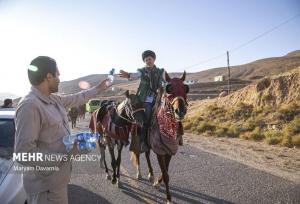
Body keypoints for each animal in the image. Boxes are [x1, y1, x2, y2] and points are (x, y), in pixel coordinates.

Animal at [131, 71, 189, 203]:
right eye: (169, 89)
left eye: (185, 89)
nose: (180, 111)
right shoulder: (160, 152)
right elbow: (166, 175)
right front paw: (168, 199)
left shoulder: (169, 150)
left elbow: (165, 171)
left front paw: (157, 182)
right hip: (137, 140)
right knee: (137, 155)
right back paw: (139, 173)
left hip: (148, 144)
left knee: (147, 155)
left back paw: (151, 175)